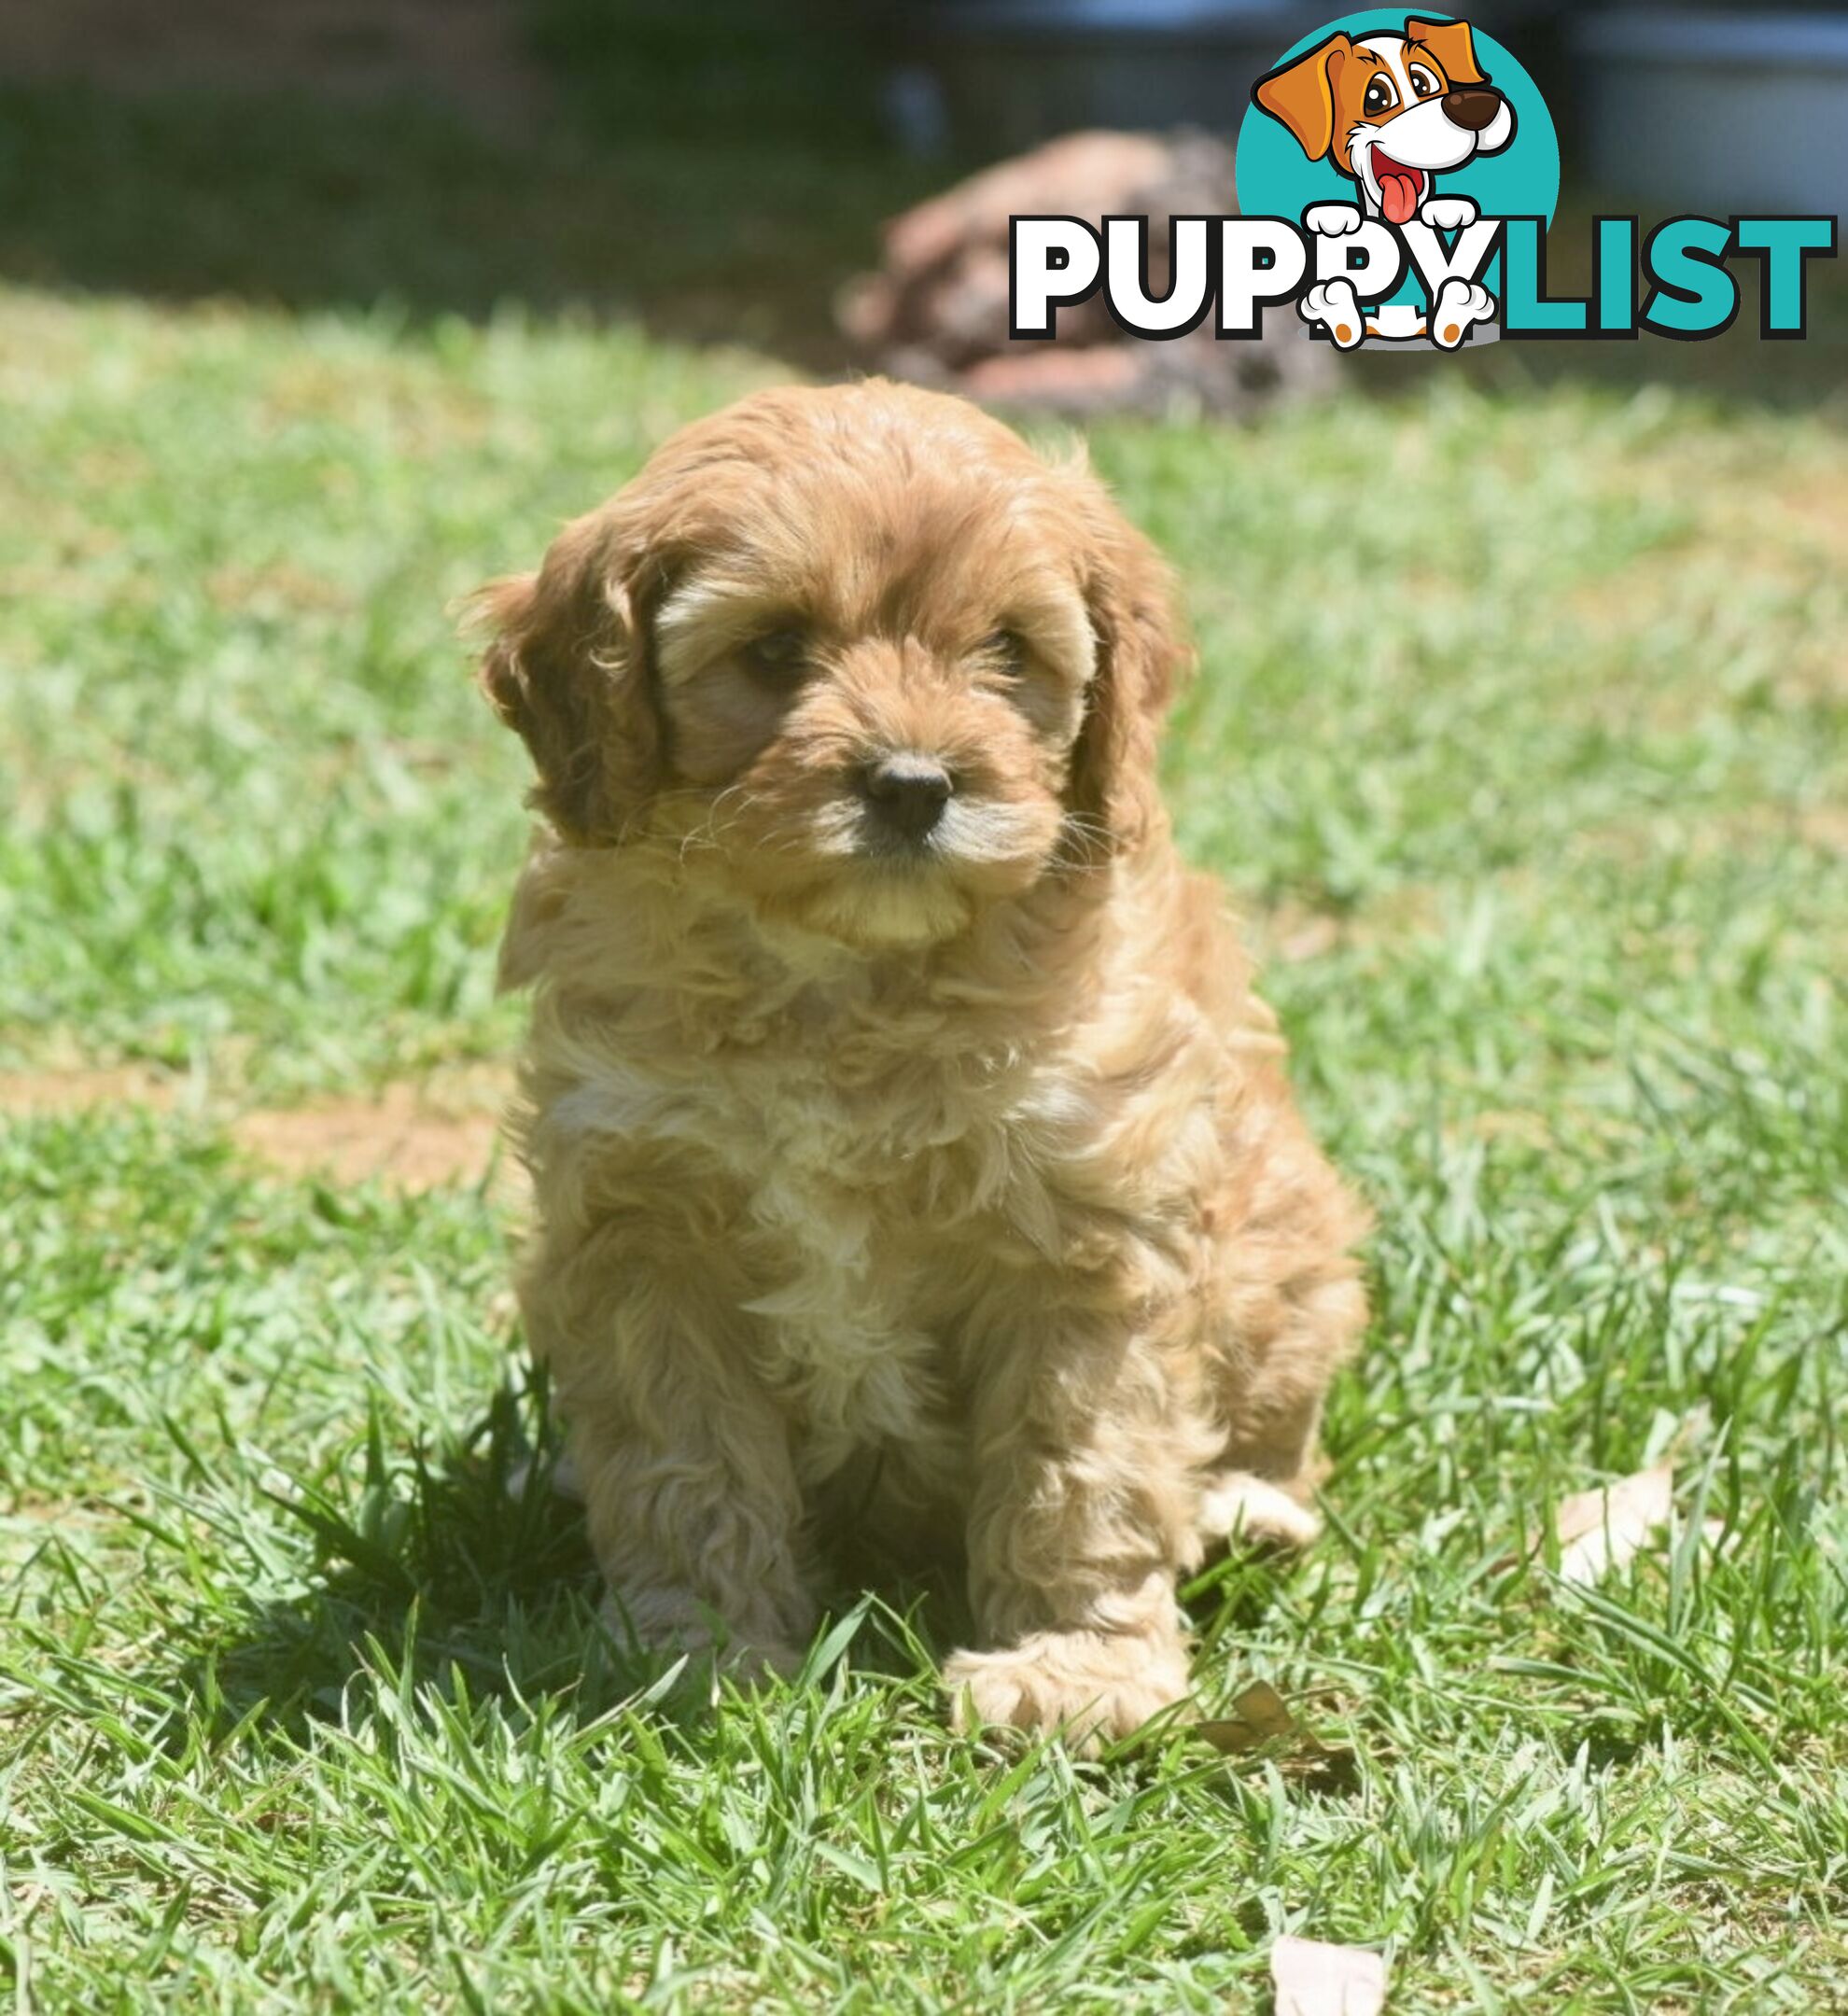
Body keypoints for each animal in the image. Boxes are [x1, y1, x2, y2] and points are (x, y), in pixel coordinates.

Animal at [475, 381, 1370, 1749]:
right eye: (775, 650)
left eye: (1007, 650)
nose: (912, 786)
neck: (847, 977)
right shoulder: (642, 1225)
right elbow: (684, 1457)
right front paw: (697, 1656)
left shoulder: (1091, 1227)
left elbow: (1087, 1462)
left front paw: (1075, 1671)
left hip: (1293, 1251)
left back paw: (1247, 1510)